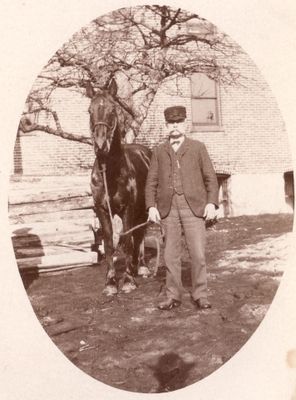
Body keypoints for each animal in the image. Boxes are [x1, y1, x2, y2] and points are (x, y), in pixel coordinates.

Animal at [86, 78, 151, 296]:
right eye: (89, 110)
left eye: (113, 109)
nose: (100, 145)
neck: (110, 172)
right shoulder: (102, 210)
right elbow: (108, 244)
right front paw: (110, 283)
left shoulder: (127, 209)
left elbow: (127, 240)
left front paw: (128, 281)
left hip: (143, 210)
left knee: (139, 235)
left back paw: (141, 267)